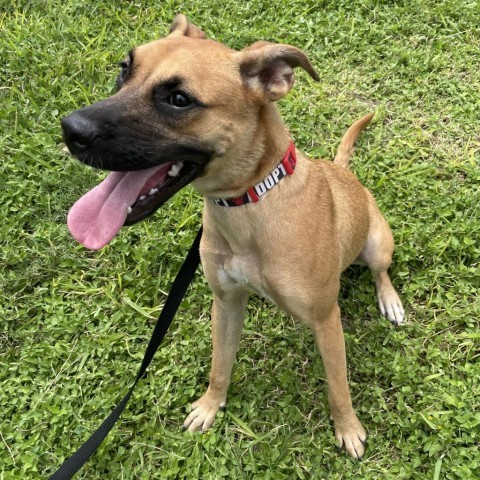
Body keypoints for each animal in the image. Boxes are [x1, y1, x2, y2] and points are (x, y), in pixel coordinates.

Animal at [62, 13, 404, 460]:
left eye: (179, 99)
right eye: (124, 69)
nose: (71, 130)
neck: (249, 205)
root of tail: (343, 169)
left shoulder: (327, 320)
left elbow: (338, 387)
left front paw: (348, 429)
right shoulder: (225, 303)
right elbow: (220, 365)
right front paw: (211, 405)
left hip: (377, 243)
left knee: (381, 272)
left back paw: (390, 300)